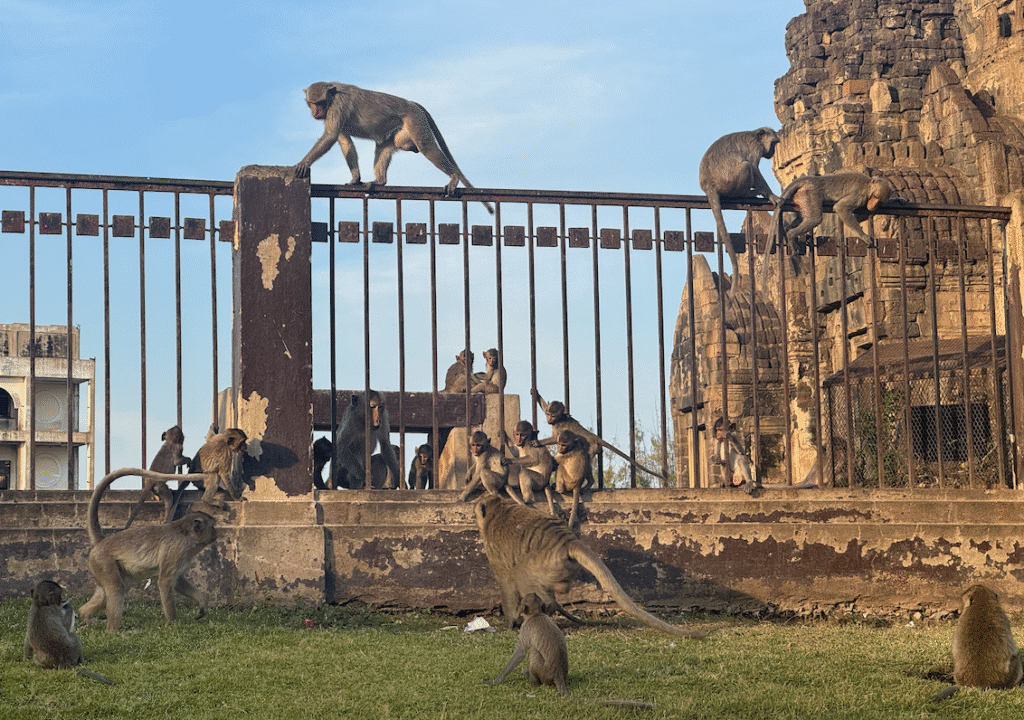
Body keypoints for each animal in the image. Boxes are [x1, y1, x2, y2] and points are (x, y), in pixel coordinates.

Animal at [79, 468, 218, 632]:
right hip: (103, 562)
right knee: (117, 588)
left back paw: (84, 615)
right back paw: (113, 631)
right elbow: (165, 582)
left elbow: (177, 581)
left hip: (102, 566)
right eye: (212, 527)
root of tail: (101, 542)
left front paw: (202, 601)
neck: (185, 534)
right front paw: (173, 624)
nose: (216, 533)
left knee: (111, 590)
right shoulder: (176, 550)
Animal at [293, 82, 494, 214]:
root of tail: (412, 103)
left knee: (426, 147)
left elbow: (330, 137)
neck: (332, 95)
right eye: (312, 103)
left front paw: (303, 164)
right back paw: (380, 181)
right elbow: (344, 142)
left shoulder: (337, 107)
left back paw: (453, 177)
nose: (315, 112)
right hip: (398, 131)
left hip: (415, 121)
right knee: (384, 146)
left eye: (319, 103)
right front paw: (355, 179)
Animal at [475, 495, 707, 638]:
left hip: (543, 563)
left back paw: (545, 607)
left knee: (522, 574)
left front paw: (509, 623)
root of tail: (566, 541)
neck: (498, 510)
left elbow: (506, 582)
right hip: (559, 568)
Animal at [533, 392, 665, 482]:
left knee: (586, 459)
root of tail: (594, 437)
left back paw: (590, 483)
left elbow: (555, 439)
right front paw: (536, 394)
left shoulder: (558, 427)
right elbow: (544, 406)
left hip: (592, 448)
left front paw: (538, 442)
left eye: (552, 415)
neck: (559, 419)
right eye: (548, 414)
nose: (549, 419)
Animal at [698, 127, 780, 268]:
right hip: (728, 185)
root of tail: (709, 185)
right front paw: (771, 195)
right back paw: (746, 194)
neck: (755, 136)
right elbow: (754, 169)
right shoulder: (755, 147)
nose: (773, 152)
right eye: (773, 144)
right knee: (746, 166)